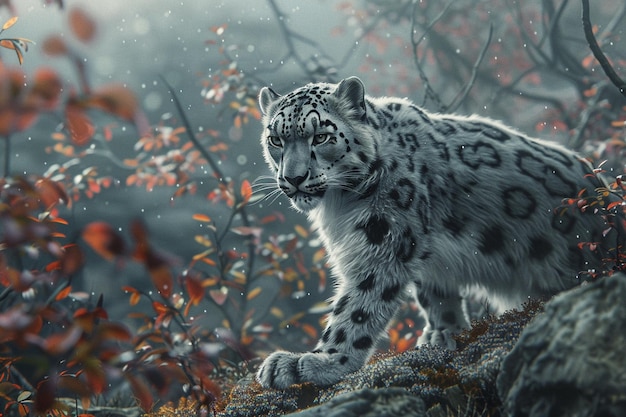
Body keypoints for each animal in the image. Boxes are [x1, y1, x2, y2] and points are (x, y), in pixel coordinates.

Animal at [252, 76, 616, 388]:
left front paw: (319, 362)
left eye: (321, 136)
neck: (339, 205)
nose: (293, 178)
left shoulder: (382, 242)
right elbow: (435, 293)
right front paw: (443, 333)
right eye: (275, 140)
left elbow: (358, 307)